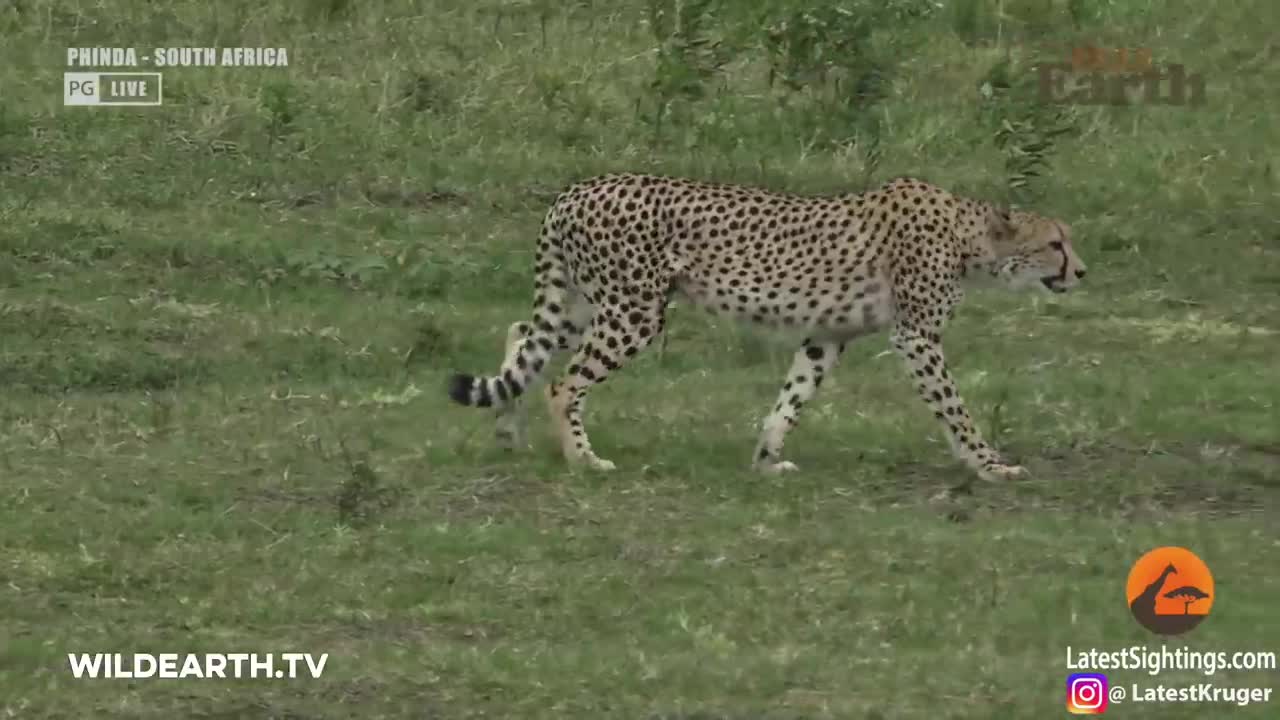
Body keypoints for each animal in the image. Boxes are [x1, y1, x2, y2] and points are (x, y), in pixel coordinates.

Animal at [445, 170, 1085, 479]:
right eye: (1055, 243)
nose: (1081, 270)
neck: (969, 238)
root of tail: (576, 189)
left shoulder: (827, 336)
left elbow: (792, 397)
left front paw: (767, 459)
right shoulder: (917, 336)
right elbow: (955, 409)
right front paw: (989, 464)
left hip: (581, 303)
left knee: (522, 340)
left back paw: (508, 435)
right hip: (633, 311)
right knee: (560, 383)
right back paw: (582, 459)